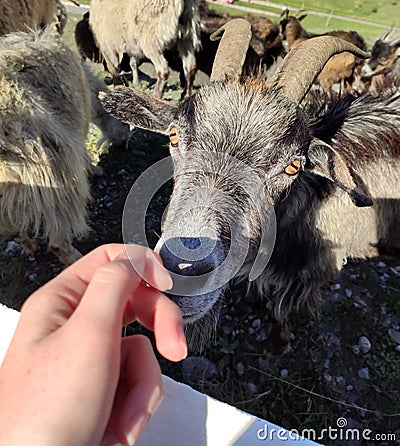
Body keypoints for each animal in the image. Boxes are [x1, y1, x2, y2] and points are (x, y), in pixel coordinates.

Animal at [0, 28, 126, 264]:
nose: (125, 142)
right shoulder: (76, 127)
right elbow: (83, 151)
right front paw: (95, 169)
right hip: (53, 178)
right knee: (57, 239)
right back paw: (76, 257)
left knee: (12, 231)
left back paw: (31, 246)